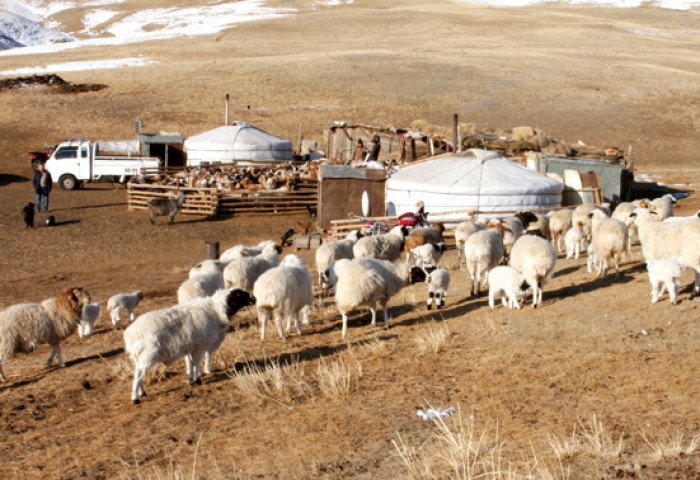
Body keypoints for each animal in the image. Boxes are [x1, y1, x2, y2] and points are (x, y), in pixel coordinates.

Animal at [124, 286, 256, 404]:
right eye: (238, 294)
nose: (254, 298)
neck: (215, 312)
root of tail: (129, 334)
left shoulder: (190, 346)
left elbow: (190, 363)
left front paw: (190, 380)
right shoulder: (199, 345)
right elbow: (196, 362)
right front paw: (197, 380)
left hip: (139, 356)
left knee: (138, 372)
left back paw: (142, 392)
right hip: (149, 354)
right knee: (138, 374)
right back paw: (135, 398)